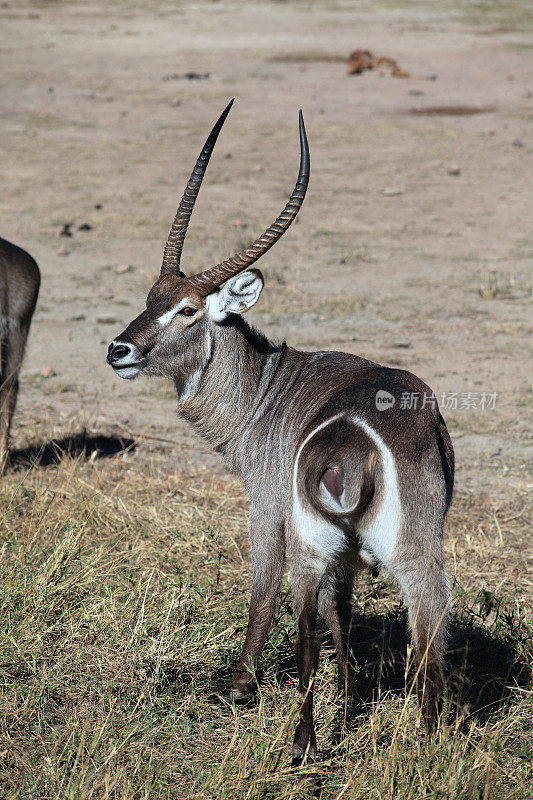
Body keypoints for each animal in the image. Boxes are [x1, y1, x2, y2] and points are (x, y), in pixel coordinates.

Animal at [107, 101, 454, 764]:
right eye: (150, 296)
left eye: (187, 308)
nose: (119, 350)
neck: (268, 385)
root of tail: (357, 442)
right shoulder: (347, 554)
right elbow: (344, 617)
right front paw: (350, 703)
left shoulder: (265, 504)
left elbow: (263, 588)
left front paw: (241, 684)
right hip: (412, 550)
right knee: (428, 632)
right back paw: (426, 744)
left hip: (311, 542)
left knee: (306, 631)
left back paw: (301, 745)